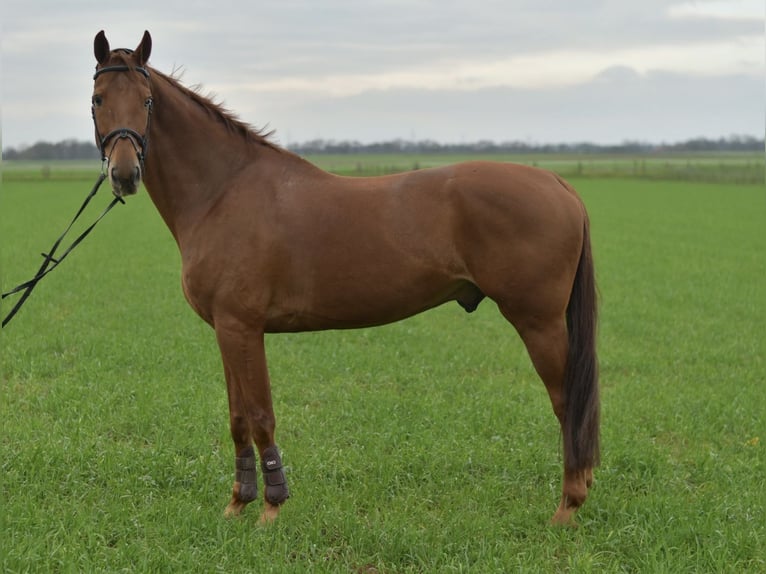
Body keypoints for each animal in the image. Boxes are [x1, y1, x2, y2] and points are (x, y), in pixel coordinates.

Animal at [91, 30, 599, 526]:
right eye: (98, 98)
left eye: (147, 100)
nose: (124, 173)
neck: (225, 190)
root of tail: (558, 184)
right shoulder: (227, 330)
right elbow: (237, 419)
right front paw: (238, 502)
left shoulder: (242, 327)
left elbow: (260, 415)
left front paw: (272, 507)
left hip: (538, 322)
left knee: (567, 403)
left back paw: (567, 506)